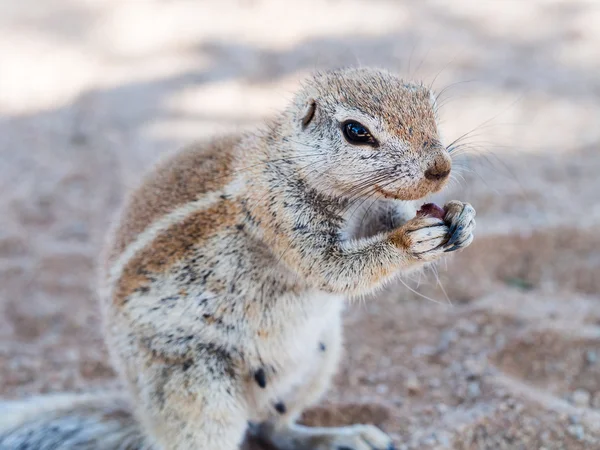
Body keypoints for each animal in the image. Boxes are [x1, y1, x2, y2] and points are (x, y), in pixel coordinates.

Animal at [1, 67, 478, 450]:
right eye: (355, 131)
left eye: (430, 104)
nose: (440, 168)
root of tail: (143, 417)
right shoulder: (279, 212)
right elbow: (332, 270)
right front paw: (410, 240)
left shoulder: (373, 209)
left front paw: (462, 218)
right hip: (198, 389)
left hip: (318, 359)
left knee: (273, 428)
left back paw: (341, 437)